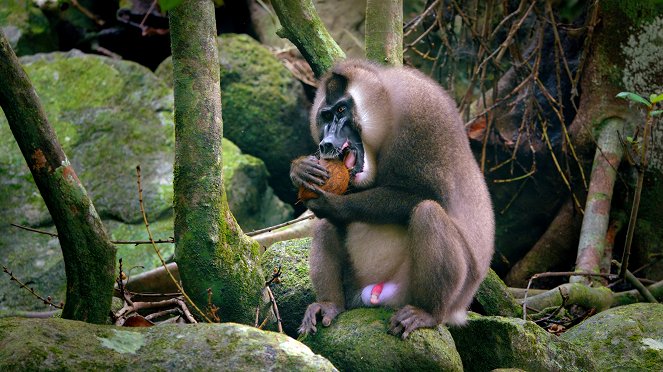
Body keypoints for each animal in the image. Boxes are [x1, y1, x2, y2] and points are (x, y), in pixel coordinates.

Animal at [290, 58, 492, 340]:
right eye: (326, 116)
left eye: (342, 109)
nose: (326, 142)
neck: (385, 108)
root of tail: (377, 294)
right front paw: (300, 169)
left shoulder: (423, 115)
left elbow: (427, 196)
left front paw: (334, 204)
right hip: (355, 288)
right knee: (324, 225)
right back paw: (329, 305)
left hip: (437, 292)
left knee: (428, 213)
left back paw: (426, 313)